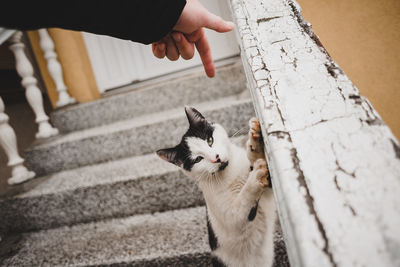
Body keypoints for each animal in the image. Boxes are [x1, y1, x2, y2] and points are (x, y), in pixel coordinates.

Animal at [158, 107, 276, 267]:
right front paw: (256, 176)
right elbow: (245, 198)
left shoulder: (268, 191)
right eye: (198, 159)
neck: (230, 172)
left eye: (210, 140)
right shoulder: (233, 219)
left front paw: (255, 142)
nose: (216, 158)